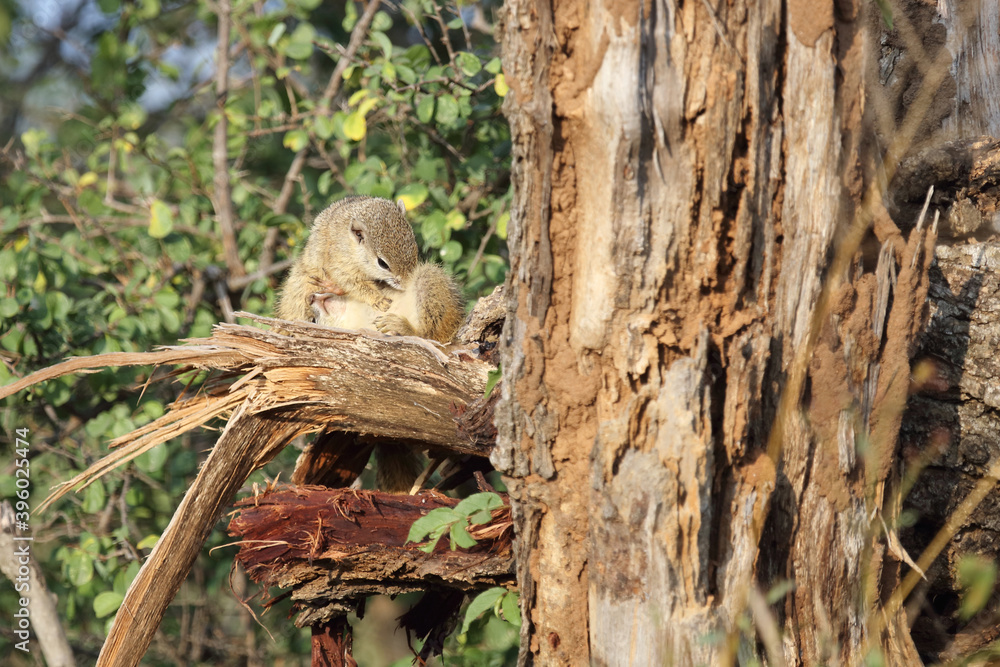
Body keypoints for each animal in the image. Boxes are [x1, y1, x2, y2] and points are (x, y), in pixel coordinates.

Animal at [277, 195, 464, 492]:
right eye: (314, 320)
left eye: (414, 247)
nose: (313, 299)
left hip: (431, 286)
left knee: (430, 334)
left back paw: (402, 326)